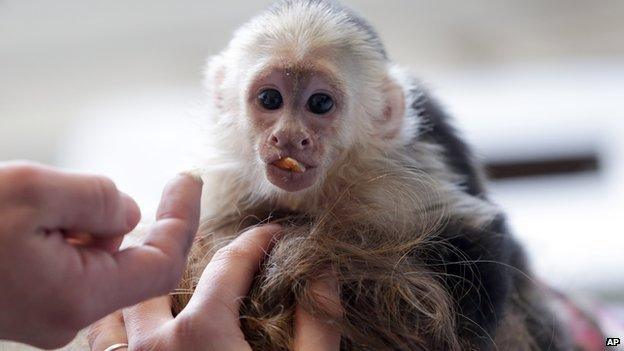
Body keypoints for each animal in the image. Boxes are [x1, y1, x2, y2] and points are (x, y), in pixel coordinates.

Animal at [154, 0, 584, 351]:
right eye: (270, 99)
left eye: (320, 103)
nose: (290, 137)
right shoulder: (228, 181)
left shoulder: (388, 179)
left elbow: (478, 240)